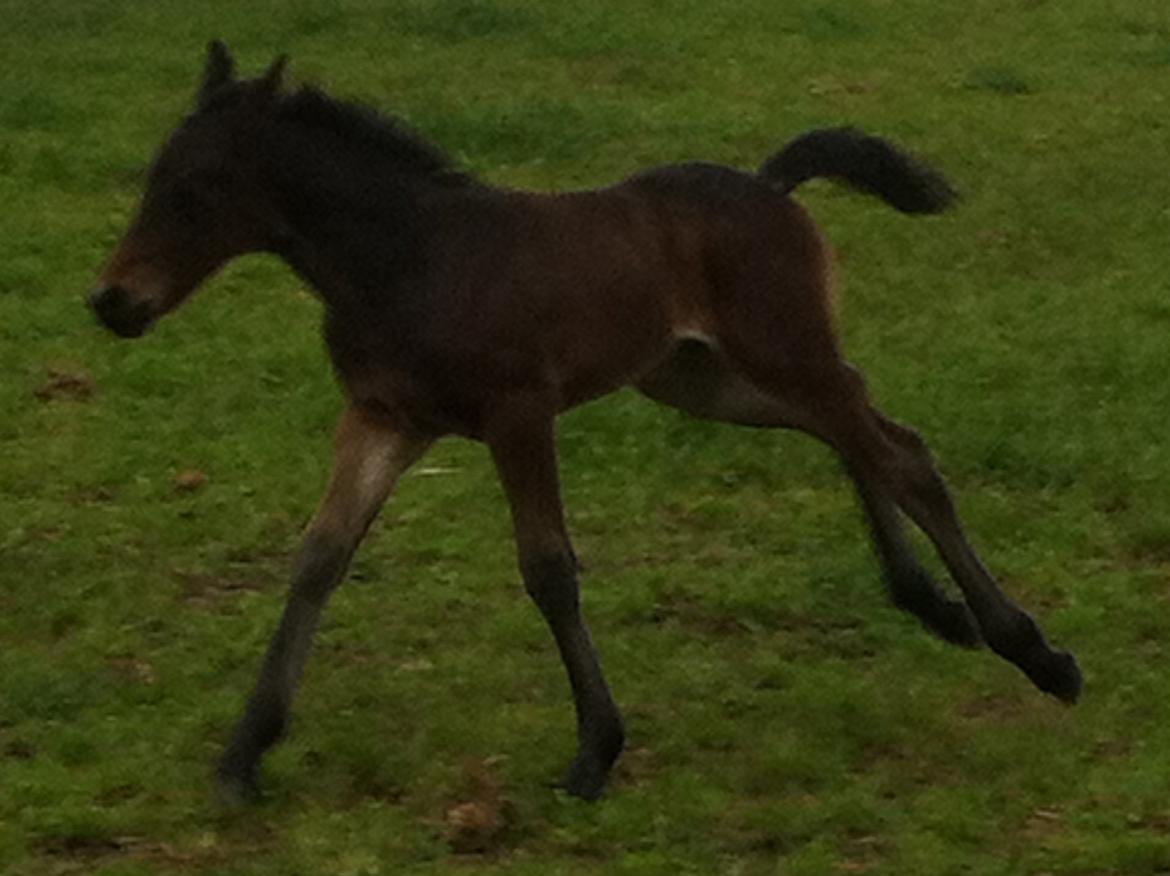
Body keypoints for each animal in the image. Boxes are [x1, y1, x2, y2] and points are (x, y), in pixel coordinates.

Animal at [88, 44, 1076, 804]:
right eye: (151, 176)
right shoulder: (382, 417)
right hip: (704, 378)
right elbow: (319, 559)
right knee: (855, 428)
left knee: (901, 452)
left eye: (198, 187)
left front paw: (595, 752)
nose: (112, 302)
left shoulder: (519, 410)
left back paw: (1033, 652)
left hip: (776, 353)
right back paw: (933, 605)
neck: (410, 258)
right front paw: (243, 755)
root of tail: (770, 186)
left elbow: (549, 569)